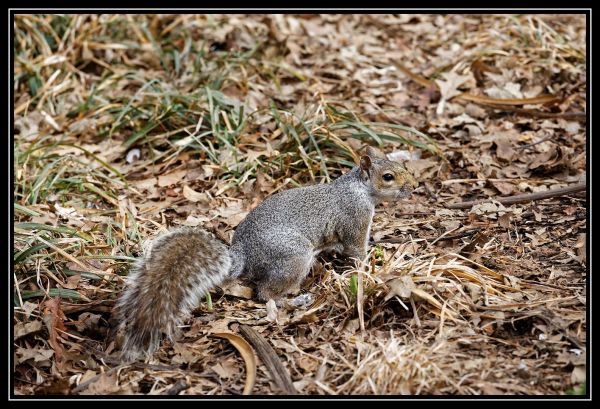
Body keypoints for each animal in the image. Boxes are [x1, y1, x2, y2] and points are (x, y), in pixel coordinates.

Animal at [116, 146, 418, 356]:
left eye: (403, 165)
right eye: (388, 177)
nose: (414, 187)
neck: (358, 188)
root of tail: (243, 255)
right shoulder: (354, 219)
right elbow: (356, 250)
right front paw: (371, 266)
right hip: (294, 256)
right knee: (267, 294)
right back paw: (296, 300)